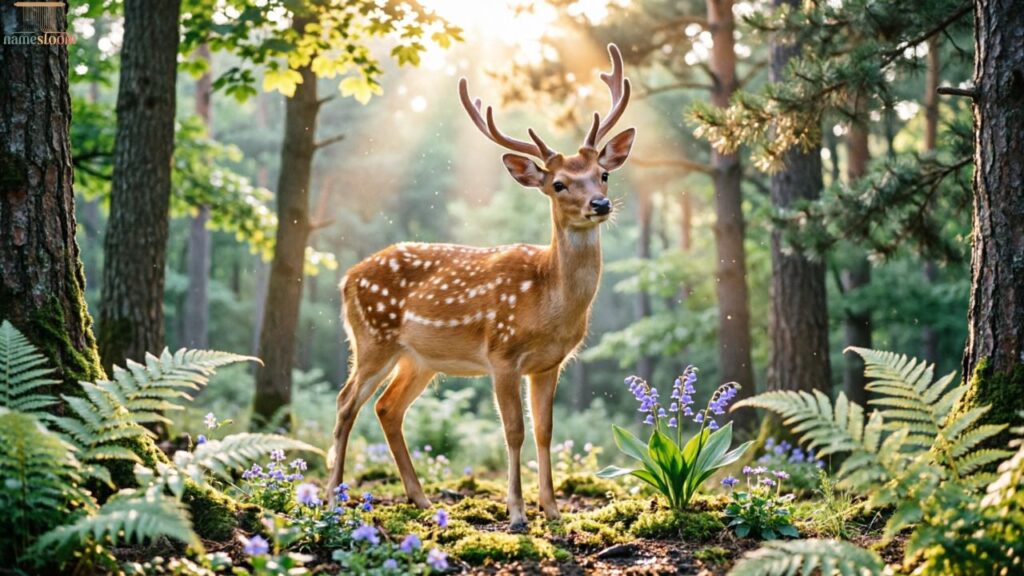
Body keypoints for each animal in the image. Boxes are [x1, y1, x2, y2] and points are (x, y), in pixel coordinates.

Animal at [327, 44, 634, 531]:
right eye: (558, 183)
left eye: (603, 173)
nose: (600, 204)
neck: (548, 300)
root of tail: (347, 278)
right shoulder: (502, 353)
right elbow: (514, 431)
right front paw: (517, 513)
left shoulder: (549, 364)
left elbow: (545, 431)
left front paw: (553, 511)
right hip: (373, 337)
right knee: (345, 402)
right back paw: (332, 498)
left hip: (419, 358)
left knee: (387, 407)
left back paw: (421, 500)